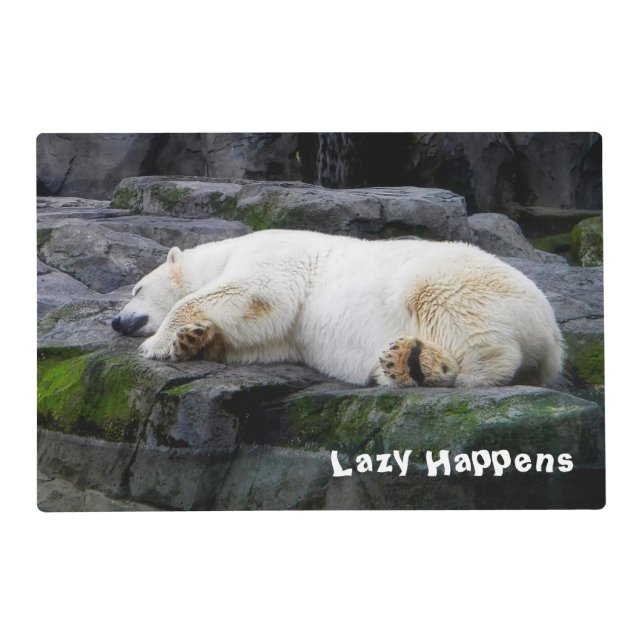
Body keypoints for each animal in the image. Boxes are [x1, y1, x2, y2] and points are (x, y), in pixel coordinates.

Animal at [112, 229, 564, 388]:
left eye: (136, 288)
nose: (116, 322)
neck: (225, 252)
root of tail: (553, 335)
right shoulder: (285, 335)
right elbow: (262, 335)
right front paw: (193, 340)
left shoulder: (274, 255)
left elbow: (256, 292)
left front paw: (158, 343)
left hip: (456, 281)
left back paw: (422, 367)